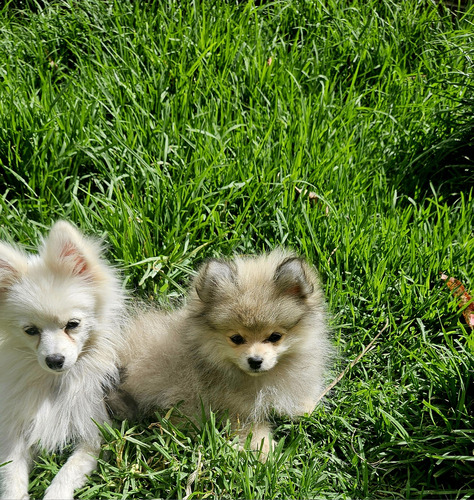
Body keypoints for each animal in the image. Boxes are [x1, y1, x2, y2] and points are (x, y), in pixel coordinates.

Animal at [0, 223, 126, 500]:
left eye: (73, 324)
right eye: (30, 331)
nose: (54, 359)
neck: (55, 383)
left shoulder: (93, 435)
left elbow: (67, 473)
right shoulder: (14, 433)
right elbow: (12, 477)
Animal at [109, 250, 332, 458]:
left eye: (275, 336)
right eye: (236, 338)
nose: (255, 361)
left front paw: (307, 408)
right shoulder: (236, 410)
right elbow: (253, 430)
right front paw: (266, 452)